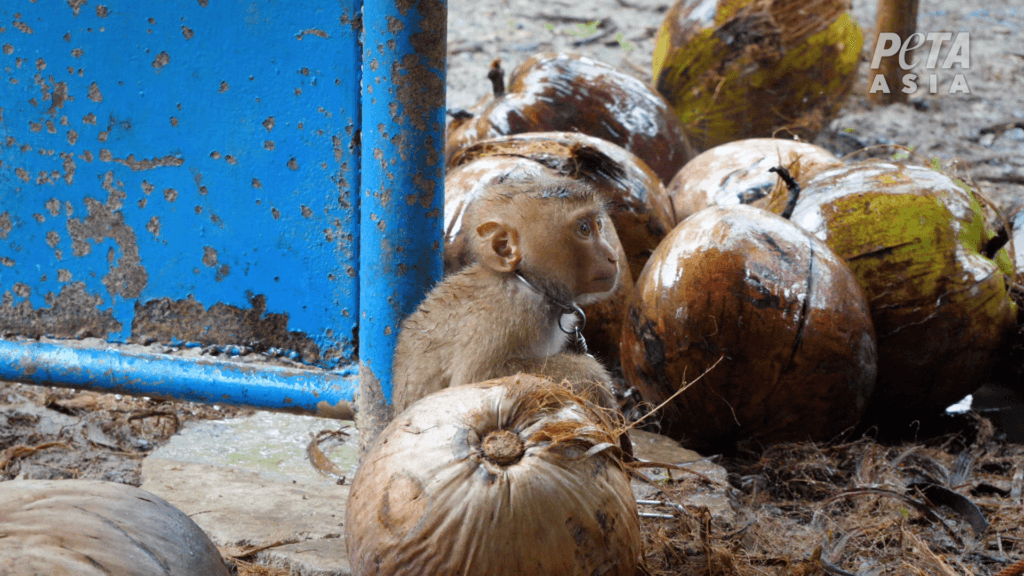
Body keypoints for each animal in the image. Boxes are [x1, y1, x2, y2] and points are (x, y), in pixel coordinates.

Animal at [389, 176, 614, 412]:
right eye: (584, 229)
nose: (611, 256)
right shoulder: (506, 317)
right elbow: (474, 380)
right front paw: (590, 373)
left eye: (598, 224)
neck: (526, 281)